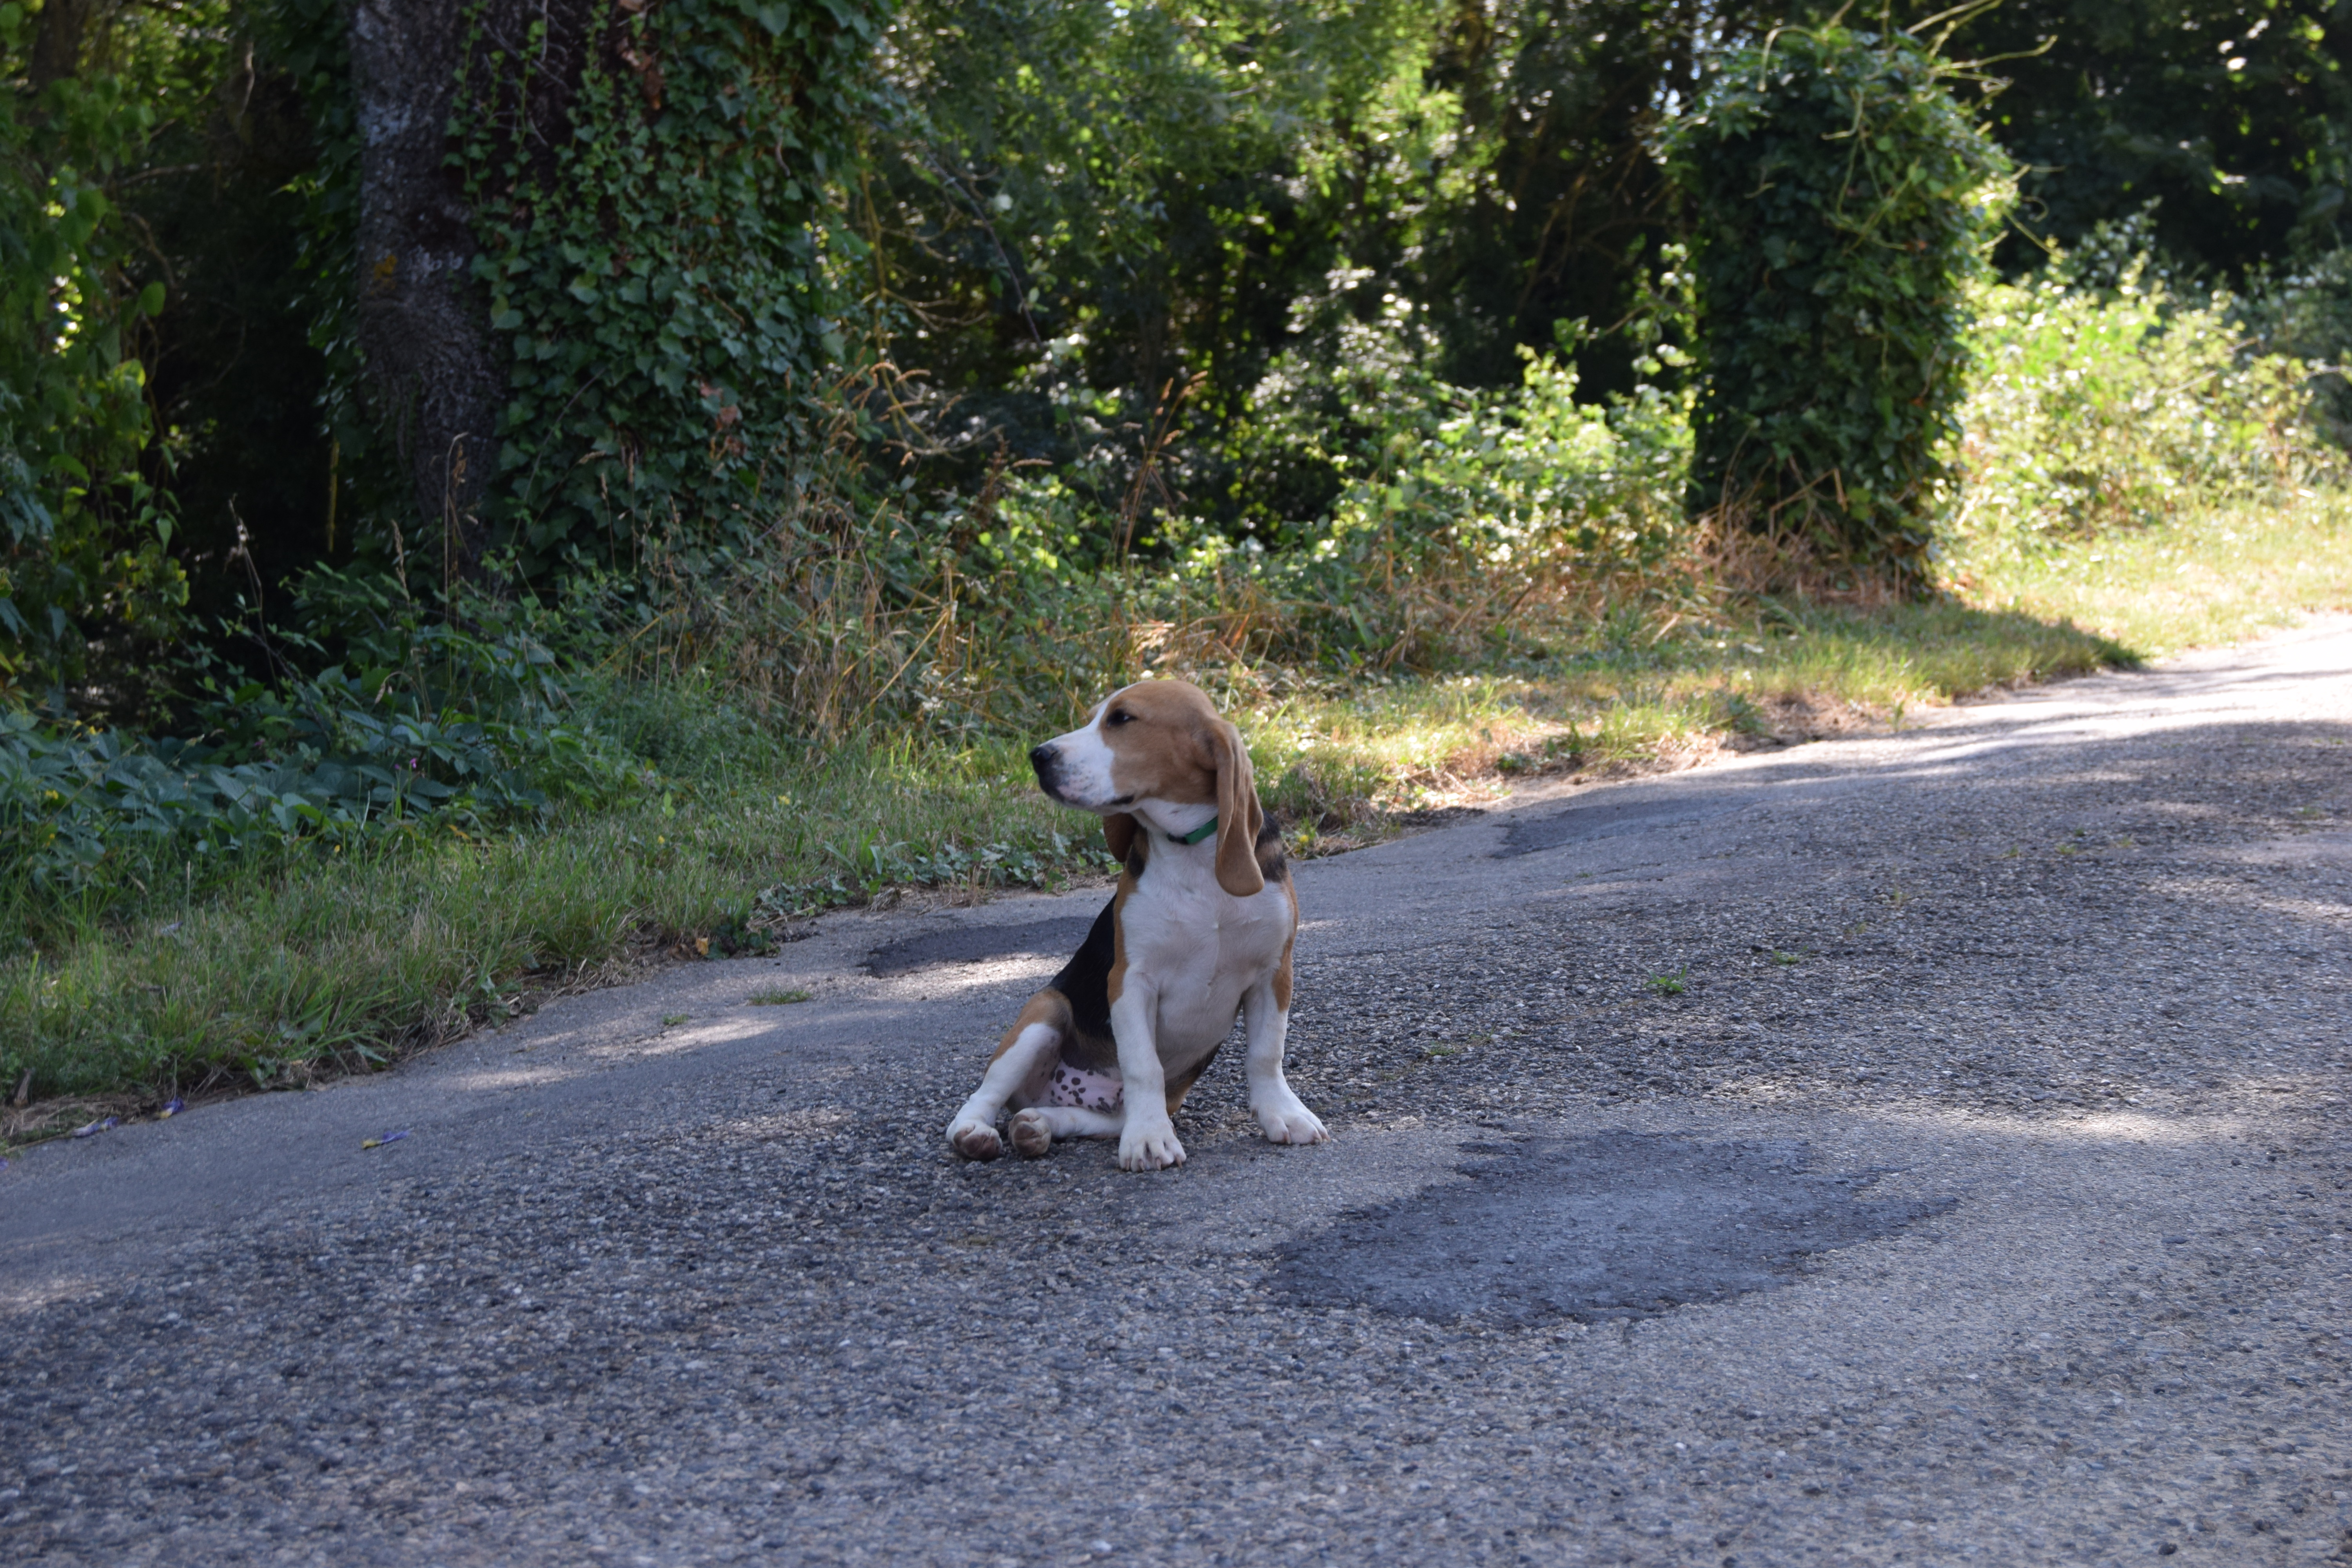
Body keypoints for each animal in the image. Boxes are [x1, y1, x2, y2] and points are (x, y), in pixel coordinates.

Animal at [946, 682, 1336, 1171]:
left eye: (1122, 719)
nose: (1038, 755)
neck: (1191, 853)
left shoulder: (1274, 973)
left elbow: (1267, 1053)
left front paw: (1283, 1113)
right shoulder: (1131, 980)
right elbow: (1143, 1064)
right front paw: (1150, 1140)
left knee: (1094, 1118)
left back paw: (1039, 1125)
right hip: (1044, 1013)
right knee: (987, 1093)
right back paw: (974, 1132)